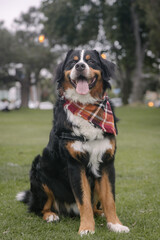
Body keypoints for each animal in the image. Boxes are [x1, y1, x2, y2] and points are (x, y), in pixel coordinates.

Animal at [16, 49, 129, 235]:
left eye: (91, 62)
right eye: (72, 62)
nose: (80, 66)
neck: (86, 106)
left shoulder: (107, 162)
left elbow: (109, 199)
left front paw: (115, 224)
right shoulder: (75, 164)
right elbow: (84, 201)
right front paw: (87, 228)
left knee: (97, 205)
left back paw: (101, 213)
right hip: (39, 170)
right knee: (39, 208)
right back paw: (51, 215)